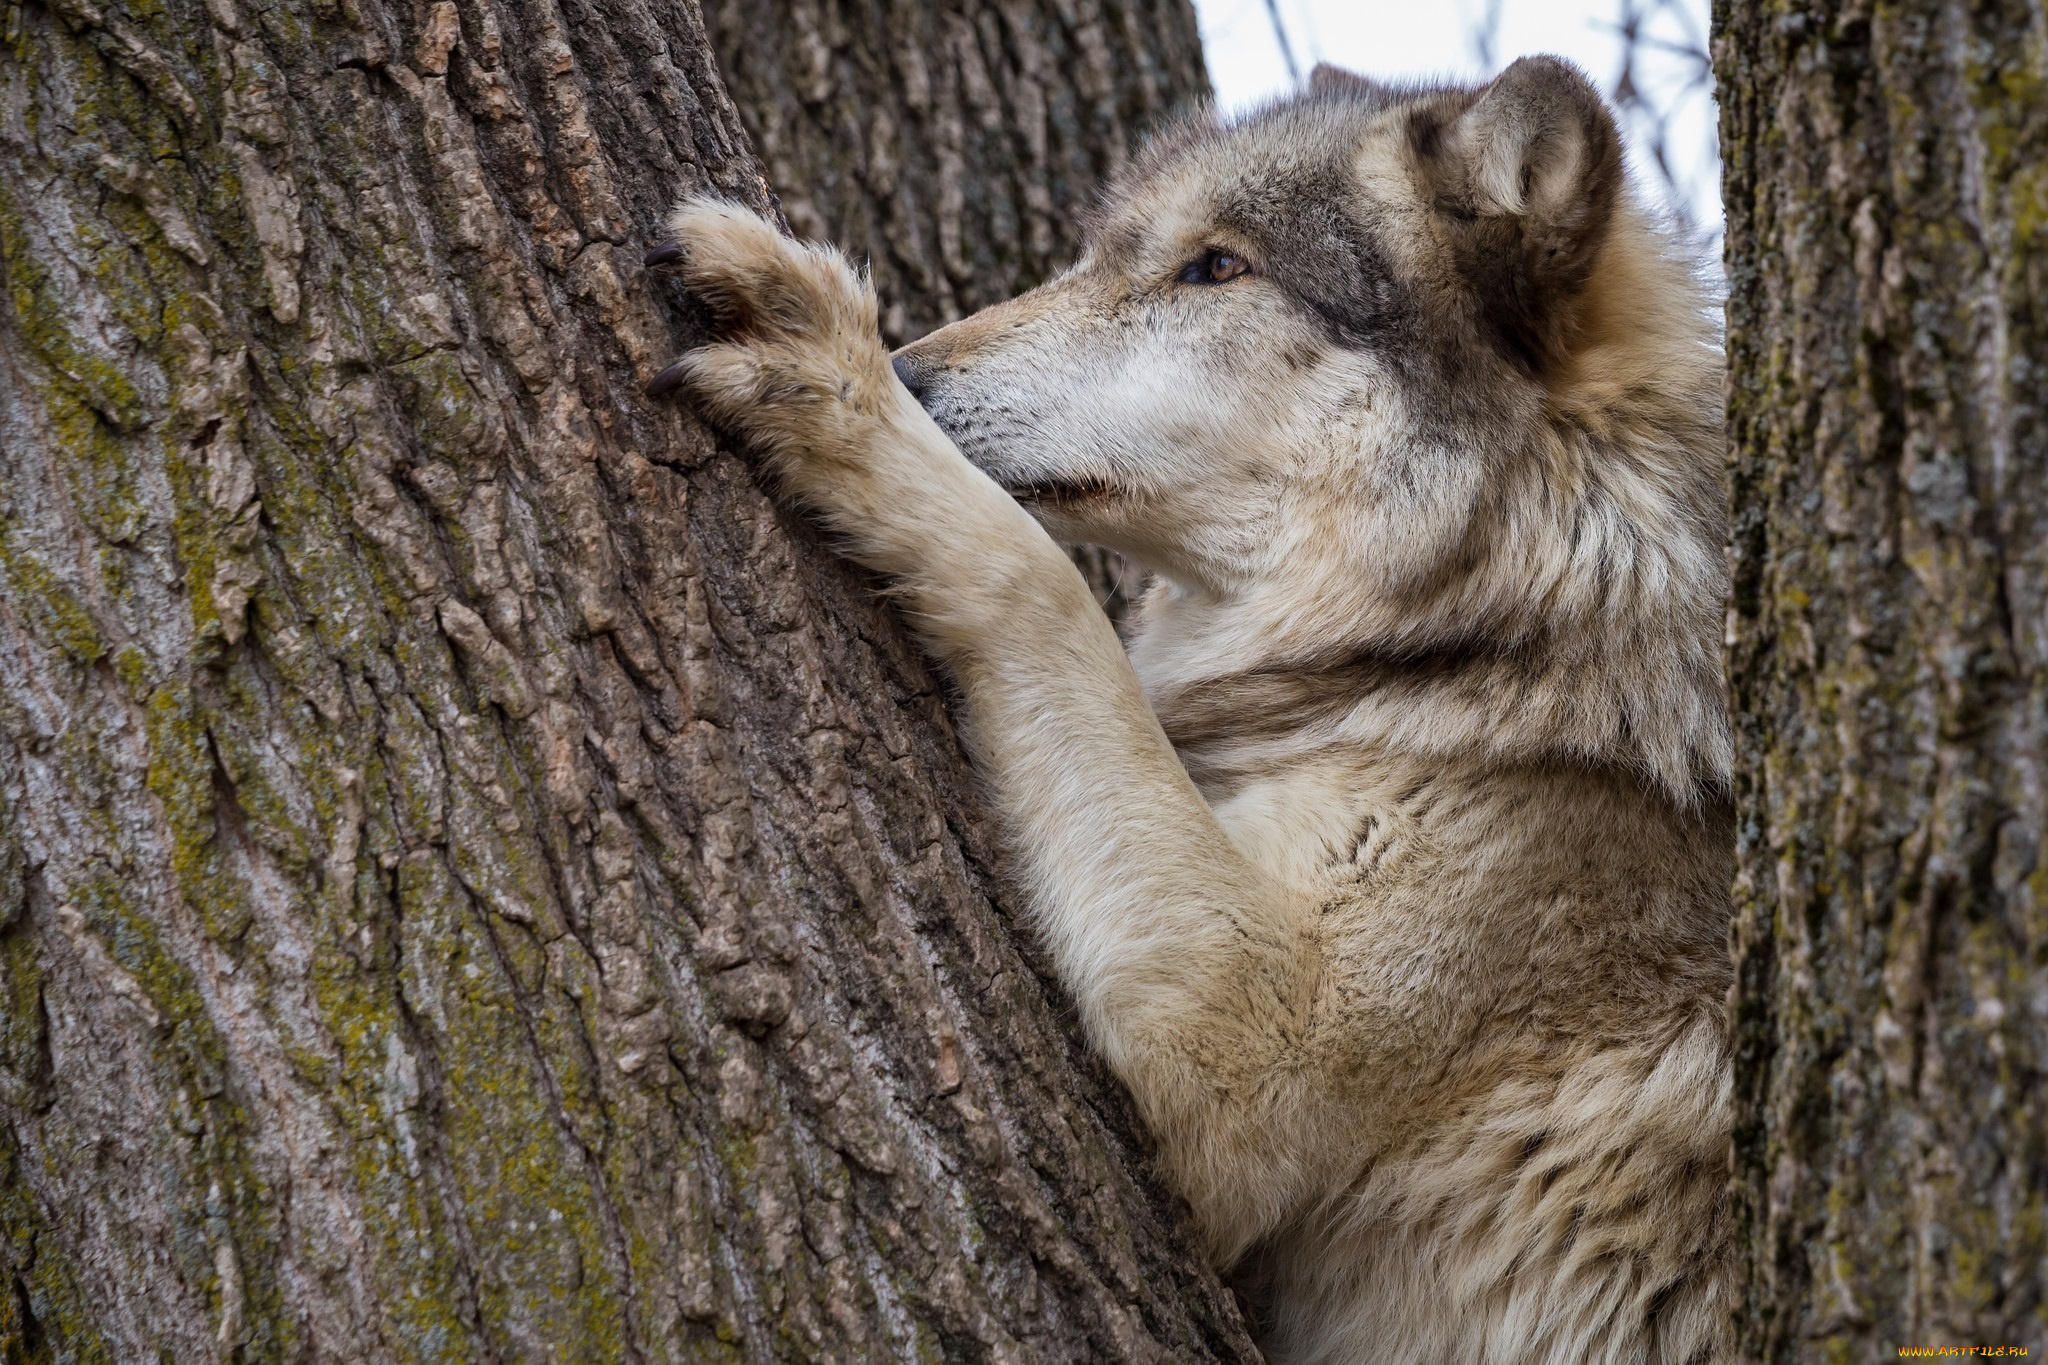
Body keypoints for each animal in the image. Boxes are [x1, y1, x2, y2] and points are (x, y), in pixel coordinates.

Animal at [651, 56, 1728, 1365]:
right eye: (1097, 255)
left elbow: (1042, 583)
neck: (1509, 616)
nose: (909, 370)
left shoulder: (1246, 1039)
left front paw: (836, 376)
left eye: (1213, 268)